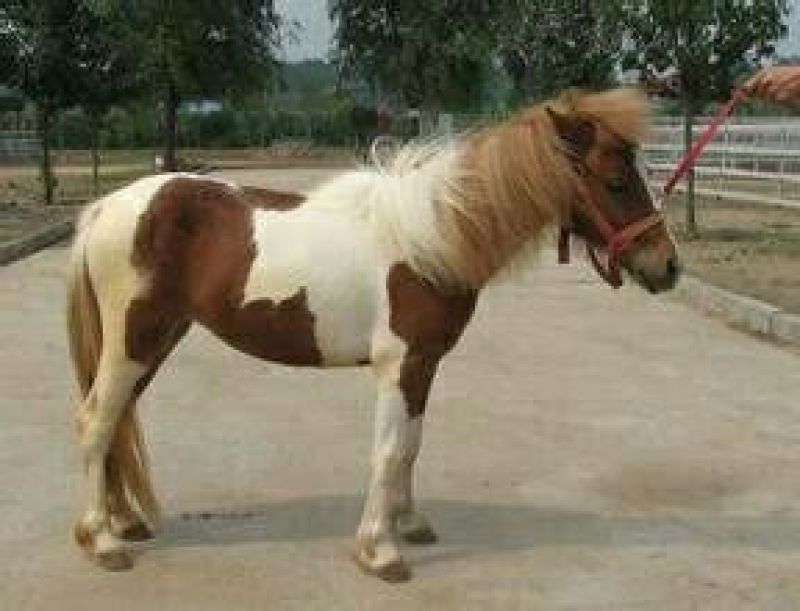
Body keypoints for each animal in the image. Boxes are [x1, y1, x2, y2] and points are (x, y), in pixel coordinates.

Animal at [67, 87, 680, 582]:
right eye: (616, 181)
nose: (667, 267)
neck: (432, 239)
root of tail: (105, 207)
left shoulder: (425, 365)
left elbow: (411, 446)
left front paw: (410, 524)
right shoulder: (399, 365)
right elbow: (388, 452)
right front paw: (379, 552)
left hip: (155, 341)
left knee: (117, 419)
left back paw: (124, 522)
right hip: (133, 342)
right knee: (97, 420)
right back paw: (101, 540)